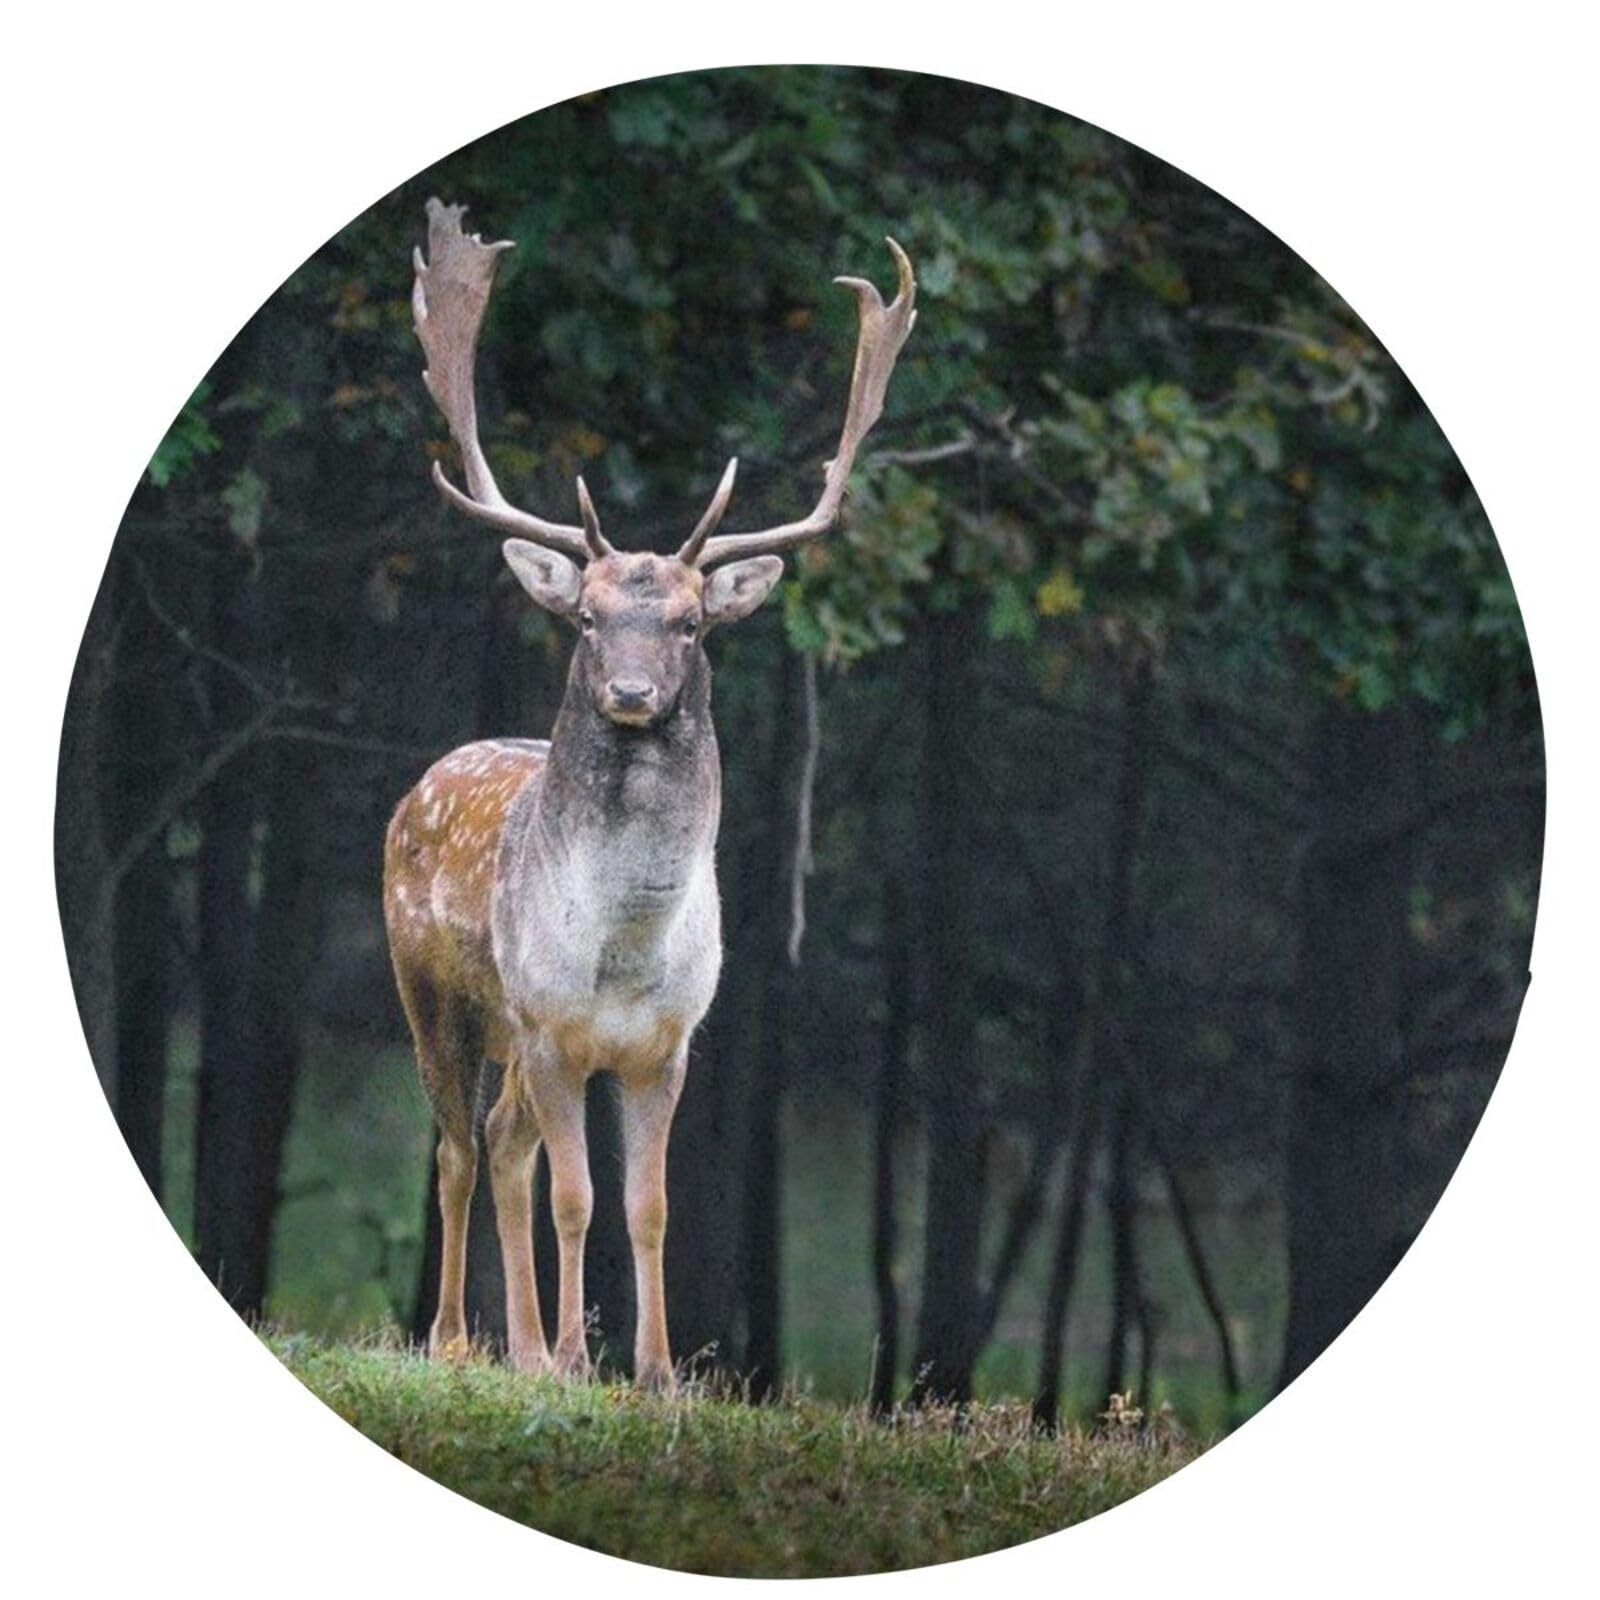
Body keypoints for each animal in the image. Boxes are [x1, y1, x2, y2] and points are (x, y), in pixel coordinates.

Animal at [384, 199, 916, 1389]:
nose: (629, 691)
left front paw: (658, 1371)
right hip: (433, 994)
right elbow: (578, 1199)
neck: (624, 951)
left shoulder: (668, 1043)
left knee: (500, 1146)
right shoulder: (549, 1026)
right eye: (586, 616)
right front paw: (577, 1360)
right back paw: (459, 1339)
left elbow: (650, 1205)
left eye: (689, 622)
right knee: (455, 1147)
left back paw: (521, 1347)